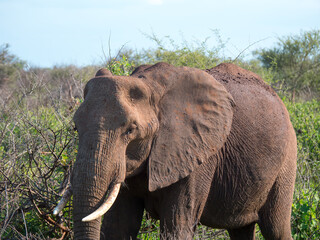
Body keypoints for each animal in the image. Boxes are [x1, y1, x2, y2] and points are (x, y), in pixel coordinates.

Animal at [53, 61, 296, 238]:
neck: (151, 86)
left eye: (130, 130)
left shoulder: (197, 151)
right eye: (75, 127)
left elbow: (176, 226)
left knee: (276, 227)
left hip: (287, 160)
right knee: (241, 229)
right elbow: (119, 226)